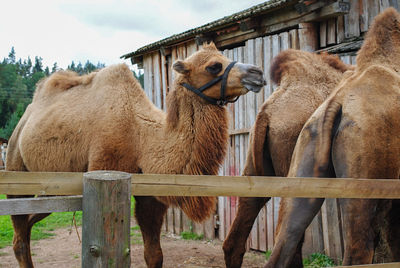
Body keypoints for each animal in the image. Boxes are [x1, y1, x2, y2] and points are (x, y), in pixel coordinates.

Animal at [5, 43, 266, 266]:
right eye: (213, 66)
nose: (258, 73)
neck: (143, 139)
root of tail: (25, 118)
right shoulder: (102, 175)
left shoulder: (152, 197)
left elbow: (154, 255)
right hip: (16, 167)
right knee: (19, 235)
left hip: (53, 187)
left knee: (28, 224)